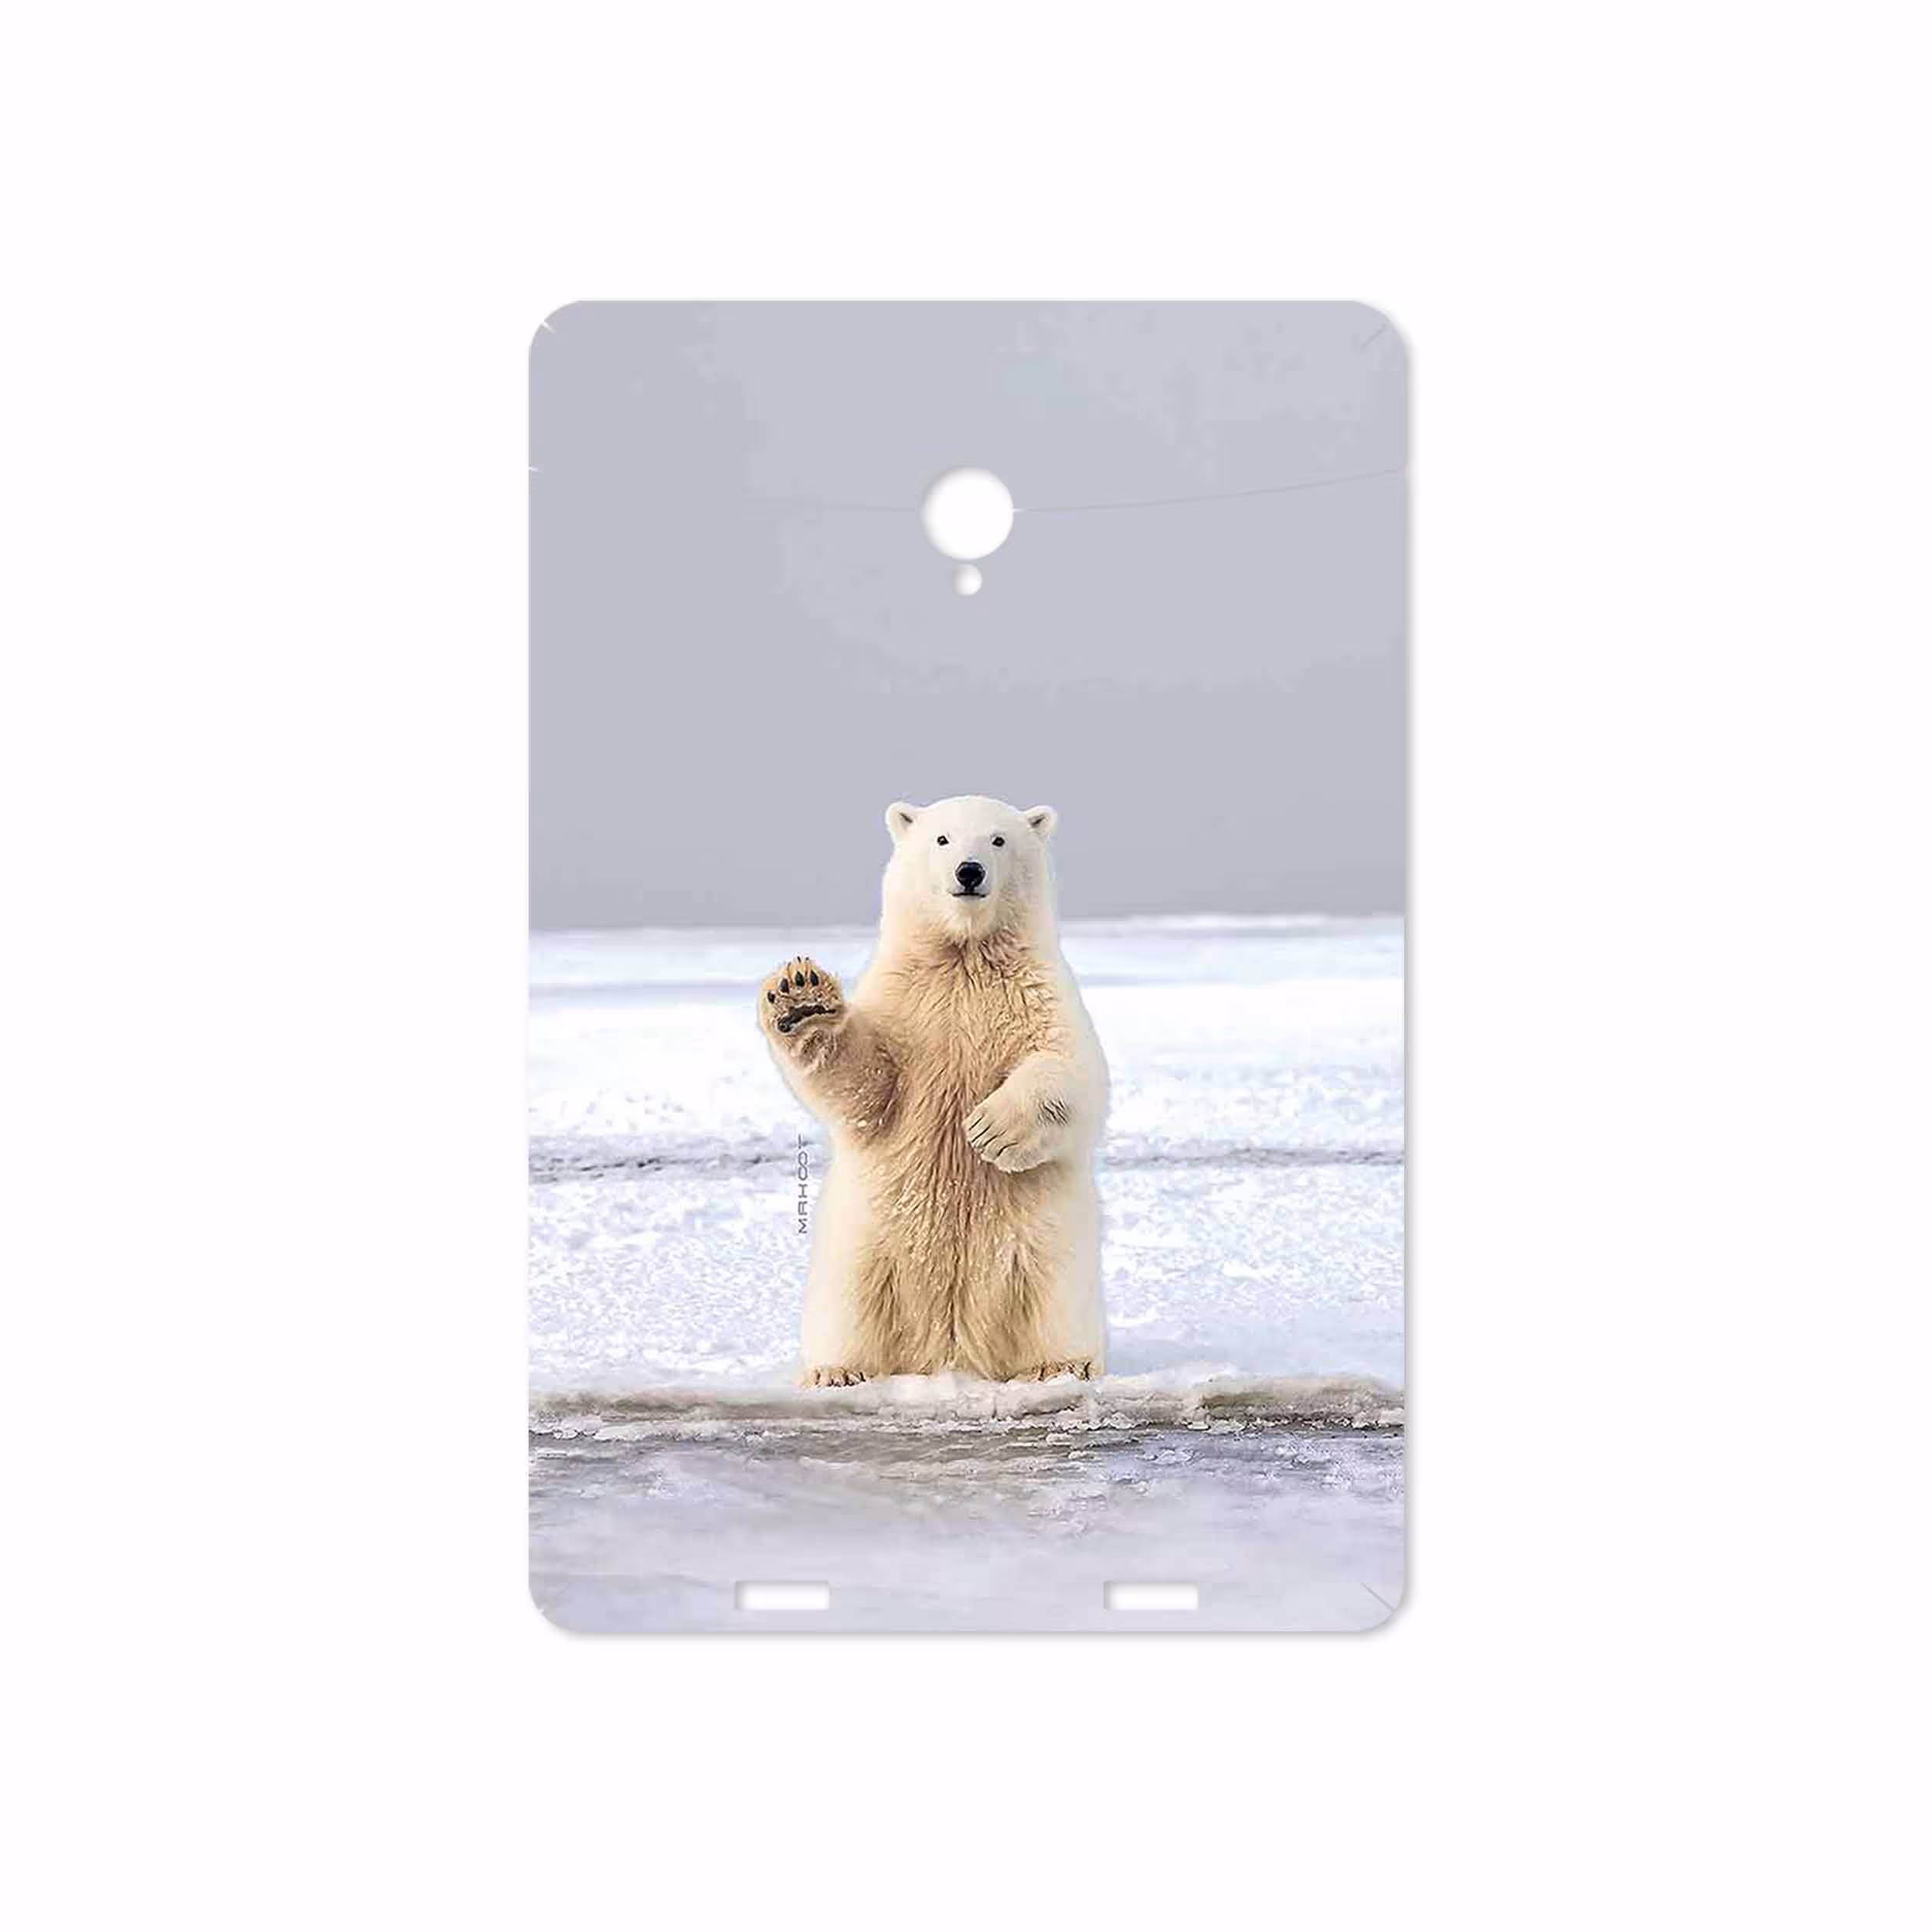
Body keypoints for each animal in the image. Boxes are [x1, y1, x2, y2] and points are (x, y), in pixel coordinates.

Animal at [758, 795, 1109, 1386]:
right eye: (942, 839)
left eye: (998, 840)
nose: (969, 872)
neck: (964, 956)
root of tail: (951, 1351)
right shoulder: (906, 1004)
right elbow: (867, 1085)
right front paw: (801, 999)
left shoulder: (1040, 995)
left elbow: (1074, 1071)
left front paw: (990, 1129)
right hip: (863, 1246)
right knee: (849, 1305)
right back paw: (837, 1371)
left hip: (1048, 1246)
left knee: (1055, 1297)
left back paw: (1061, 1365)